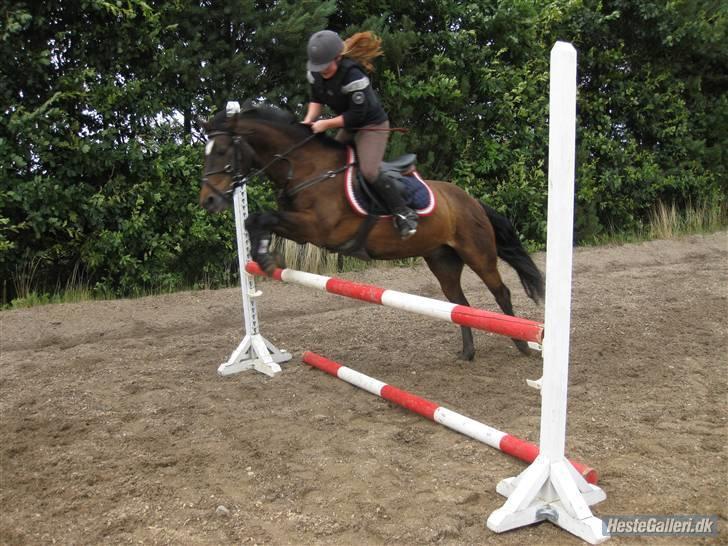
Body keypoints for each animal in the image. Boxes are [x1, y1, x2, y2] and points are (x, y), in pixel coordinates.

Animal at [199, 102, 544, 360]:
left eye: (222, 151)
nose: (208, 201)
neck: (307, 168)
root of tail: (471, 201)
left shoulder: (317, 228)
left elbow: (263, 218)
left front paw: (266, 258)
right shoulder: (300, 227)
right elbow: (254, 220)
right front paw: (263, 255)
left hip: (477, 252)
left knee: (501, 292)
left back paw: (524, 345)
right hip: (442, 260)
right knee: (459, 304)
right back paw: (468, 352)